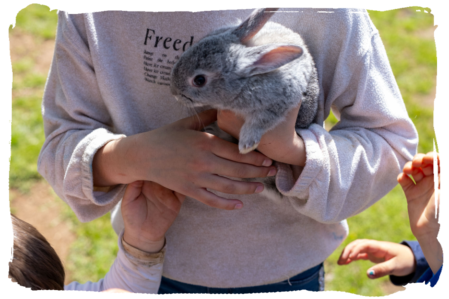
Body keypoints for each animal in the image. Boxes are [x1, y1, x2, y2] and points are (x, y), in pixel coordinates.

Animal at [170, 7, 320, 156]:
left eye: (199, 80)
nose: (173, 93)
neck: (245, 84)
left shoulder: (280, 102)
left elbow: (261, 121)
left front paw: (246, 145)